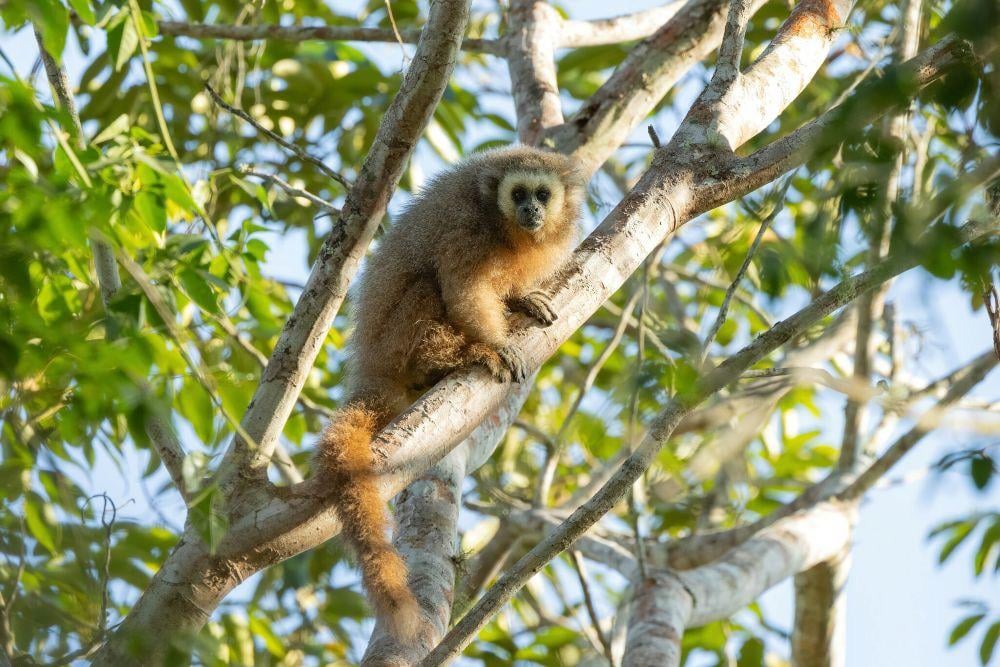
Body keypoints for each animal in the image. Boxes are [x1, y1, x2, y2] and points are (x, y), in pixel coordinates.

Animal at [314, 145, 584, 636]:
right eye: (518, 194)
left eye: (541, 195)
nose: (531, 211)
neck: (507, 231)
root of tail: (371, 369)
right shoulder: (467, 230)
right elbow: (463, 290)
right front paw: (495, 344)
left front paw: (523, 299)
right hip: (396, 341)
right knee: (427, 283)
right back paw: (451, 358)